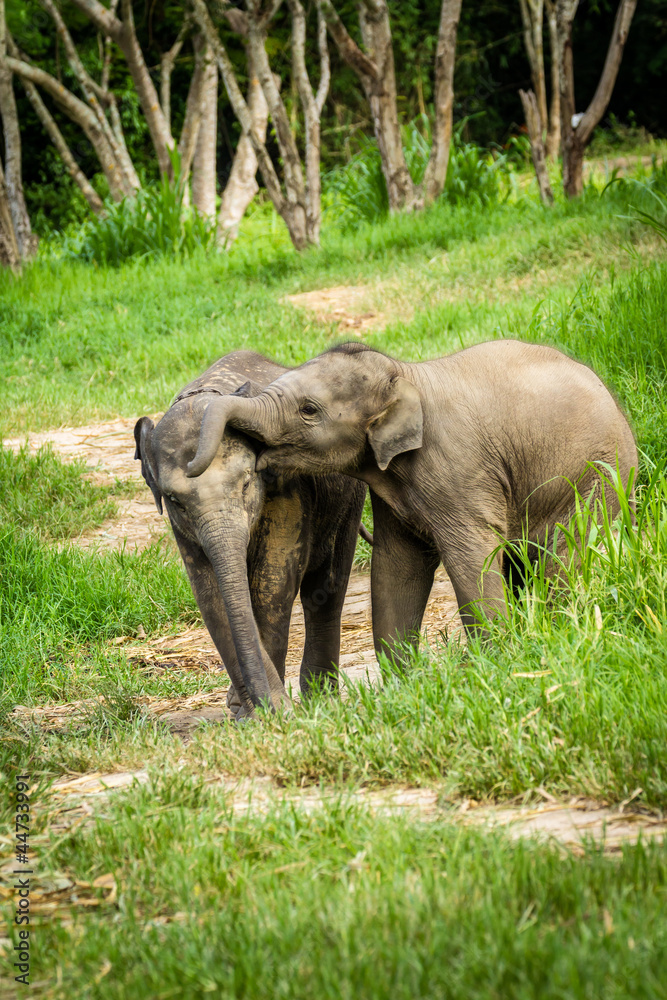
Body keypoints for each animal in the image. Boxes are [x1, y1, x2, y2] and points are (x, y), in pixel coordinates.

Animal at [134, 352, 368, 720]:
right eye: (175, 501)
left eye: (246, 484)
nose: (264, 706)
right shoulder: (180, 527)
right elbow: (210, 592)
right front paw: (251, 712)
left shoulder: (288, 487)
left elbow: (272, 583)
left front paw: (274, 711)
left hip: (348, 496)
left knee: (326, 587)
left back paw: (321, 698)